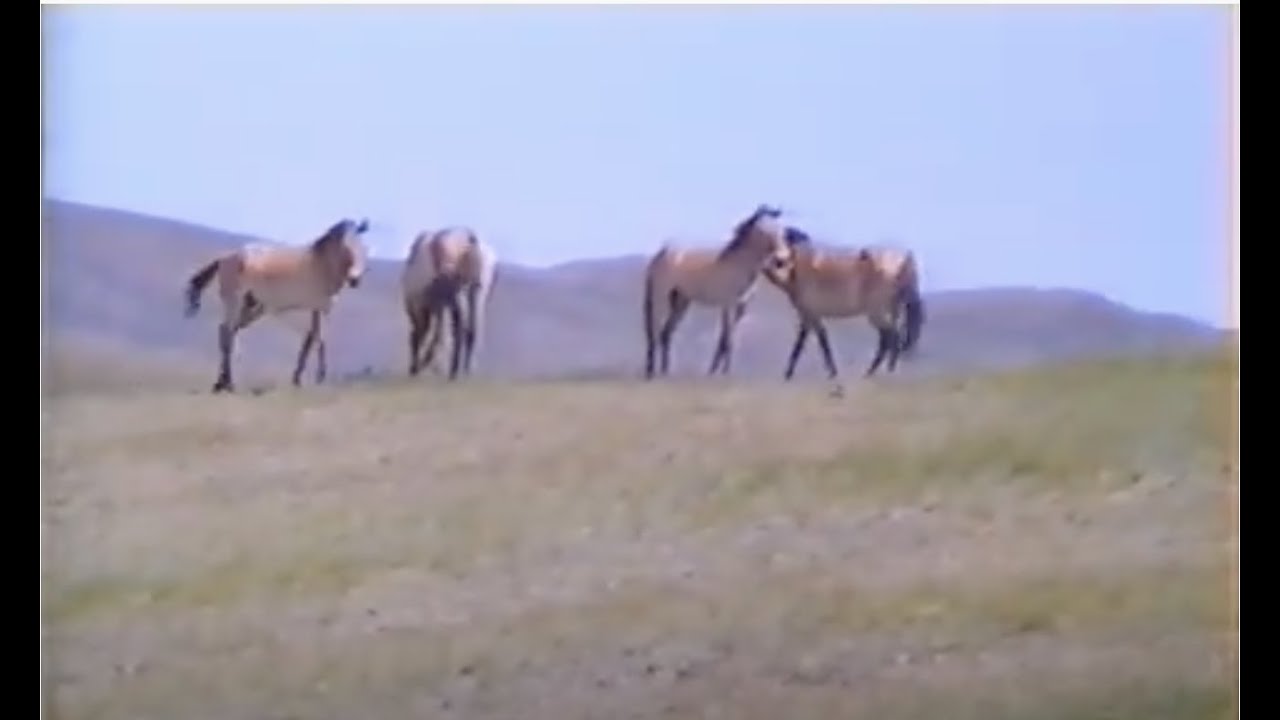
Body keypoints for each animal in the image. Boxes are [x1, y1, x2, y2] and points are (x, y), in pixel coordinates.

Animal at [183, 217, 370, 393]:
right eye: (345, 248)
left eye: (362, 247)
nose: (355, 280)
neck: (322, 266)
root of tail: (225, 258)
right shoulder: (323, 307)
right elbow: (320, 338)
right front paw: (320, 377)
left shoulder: (315, 308)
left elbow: (309, 340)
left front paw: (297, 380)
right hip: (234, 301)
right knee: (227, 333)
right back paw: (228, 384)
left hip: (252, 305)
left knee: (228, 332)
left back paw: (221, 384)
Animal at [400, 226, 498, 379]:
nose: (412, 370)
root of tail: (471, 239)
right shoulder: (439, 304)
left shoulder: (430, 305)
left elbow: (429, 335)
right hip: (474, 294)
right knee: (470, 329)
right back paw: (463, 370)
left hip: (457, 296)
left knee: (457, 330)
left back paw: (452, 370)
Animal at [642, 203, 792, 379]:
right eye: (764, 232)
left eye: (782, 231)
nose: (782, 260)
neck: (739, 267)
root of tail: (662, 252)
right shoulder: (728, 305)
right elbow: (727, 340)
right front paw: (725, 374)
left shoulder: (741, 307)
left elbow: (726, 340)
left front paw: (714, 372)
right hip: (660, 297)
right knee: (654, 330)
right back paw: (651, 372)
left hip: (681, 301)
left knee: (666, 332)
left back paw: (665, 372)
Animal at [763, 226, 926, 380]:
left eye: (787, 239)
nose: (776, 262)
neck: (797, 271)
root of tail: (906, 257)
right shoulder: (809, 317)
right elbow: (809, 342)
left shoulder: (811, 315)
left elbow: (813, 343)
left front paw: (828, 373)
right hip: (890, 311)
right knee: (890, 339)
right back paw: (879, 371)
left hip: (877, 313)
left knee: (891, 337)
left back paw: (878, 372)